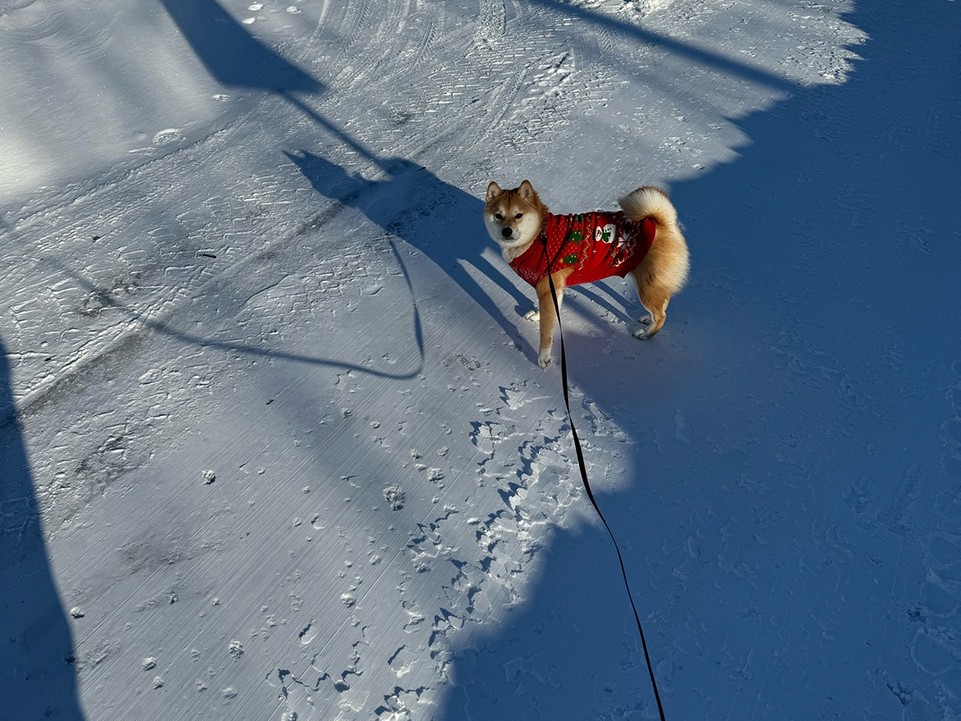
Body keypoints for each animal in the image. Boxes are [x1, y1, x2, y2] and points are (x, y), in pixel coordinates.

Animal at [484, 179, 688, 368]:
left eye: (518, 215)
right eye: (498, 216)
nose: (506, 231)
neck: (538, 237)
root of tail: (662, 222)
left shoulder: (546, 288)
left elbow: (546, 332)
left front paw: (543, 357)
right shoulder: (553, 289)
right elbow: (550, 312)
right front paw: (537, 315)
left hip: (646, 286)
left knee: (661, 315)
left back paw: (646, 334)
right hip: (652, 284)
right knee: (662, 304)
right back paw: (647, 319)